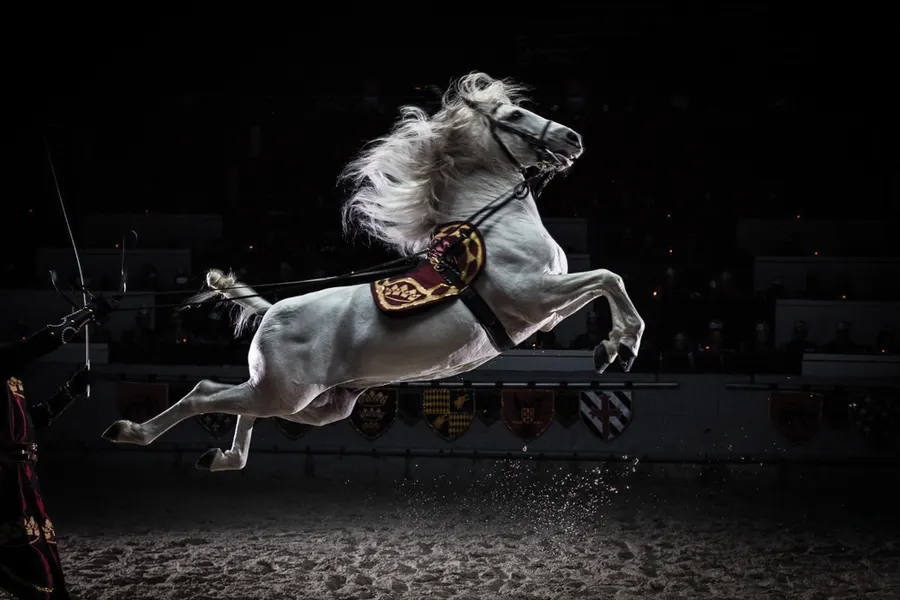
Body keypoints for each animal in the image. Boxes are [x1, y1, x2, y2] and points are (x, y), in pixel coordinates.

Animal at [101, 72, 645, 471]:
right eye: (513, 114)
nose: (573, 138)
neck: (494, 225)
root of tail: (273, 309)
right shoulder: (532, 294)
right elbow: (610, 278)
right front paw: (621, 347)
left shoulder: (548, 309)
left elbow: (603, 285)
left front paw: (609, 346)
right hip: (287, 390)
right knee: (203, 394)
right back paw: (130, 431)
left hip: (314, 403)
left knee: (237, 406)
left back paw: (219, 457)